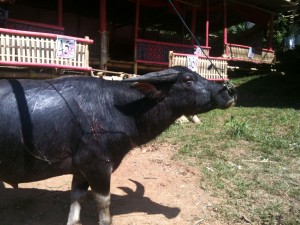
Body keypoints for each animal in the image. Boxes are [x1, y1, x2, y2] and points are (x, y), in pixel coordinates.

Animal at [0, 66, 237, 224]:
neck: (116, 107)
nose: (229, 91)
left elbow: (76, 201)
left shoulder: (80, 170)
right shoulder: (98, 166)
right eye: (188, 79)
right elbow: (104, 206)